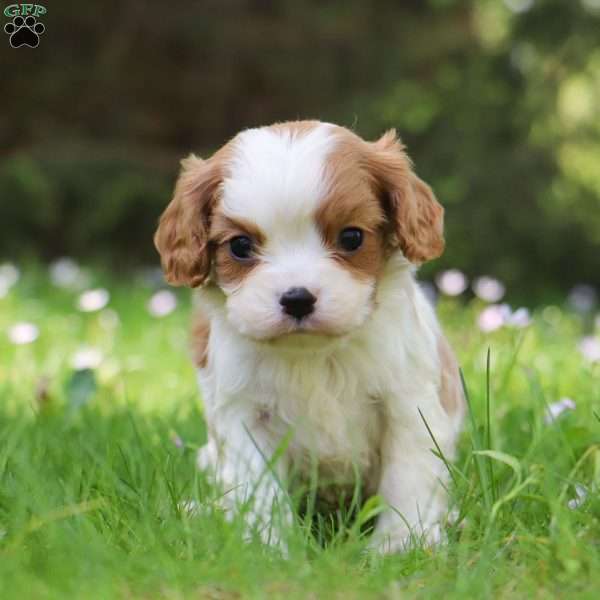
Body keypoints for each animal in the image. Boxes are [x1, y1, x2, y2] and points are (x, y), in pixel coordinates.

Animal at [155, 119, 464, 552]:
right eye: (240, 246)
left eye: (351, 238)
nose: (297, 298)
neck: (315, 355)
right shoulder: (245, 415)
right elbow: (261, 488)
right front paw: (269, 547)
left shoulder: (408, 404)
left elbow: (407, 479)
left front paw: (399, 545)